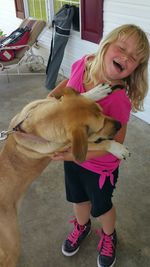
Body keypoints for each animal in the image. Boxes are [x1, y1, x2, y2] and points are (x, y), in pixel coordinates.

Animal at [0, 87, 129, 266]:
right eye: (99, 128)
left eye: (102, 111)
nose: (119, 124)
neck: (36, 126)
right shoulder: (71, 147)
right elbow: (98, 144)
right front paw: (117, 148)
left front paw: (97, 91)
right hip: (11, 247)